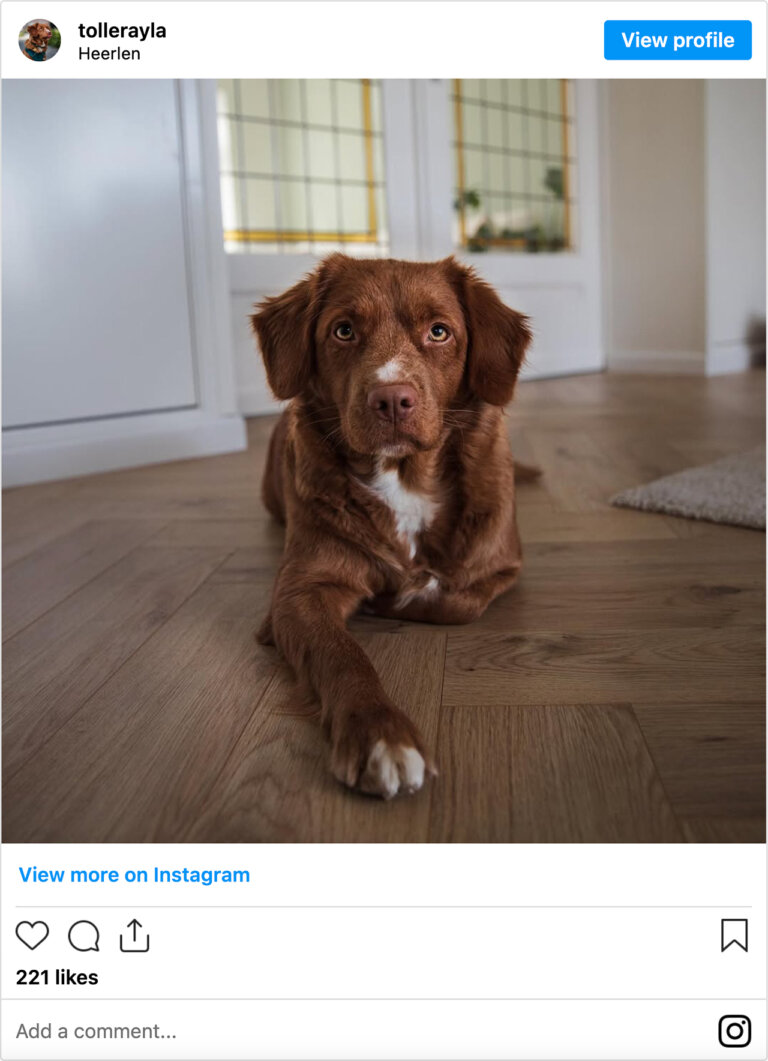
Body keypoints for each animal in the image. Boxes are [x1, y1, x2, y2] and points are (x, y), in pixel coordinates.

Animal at [252, 256, 528, 797]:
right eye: (343, 330)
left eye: (439, 331)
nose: (392, 399)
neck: (404, 476)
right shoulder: (299, 592)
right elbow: (342, 656)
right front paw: (381, 737)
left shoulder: (501, 565)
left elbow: (456, 600)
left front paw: (396, 596)